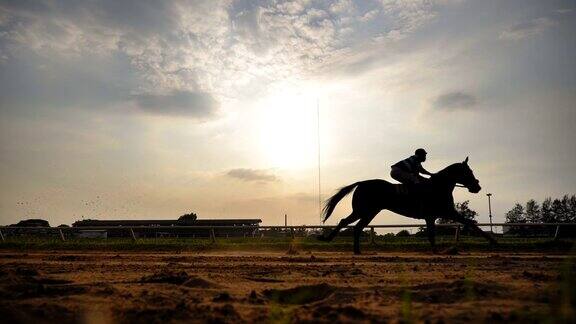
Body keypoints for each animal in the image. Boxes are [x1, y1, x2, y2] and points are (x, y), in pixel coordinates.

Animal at [318, 158, 498, 254]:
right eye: (468, 172)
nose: (477, 187)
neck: (439, 187)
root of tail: (361, 183)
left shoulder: (434, 216)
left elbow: (433, 234)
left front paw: (436, 250)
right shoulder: (446, 212)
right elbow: (470, 224)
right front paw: (493, 240)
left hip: (369, 211)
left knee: (355, 226)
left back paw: (355, 249)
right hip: (365, 210)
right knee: (347, 222)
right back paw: (330, 240)